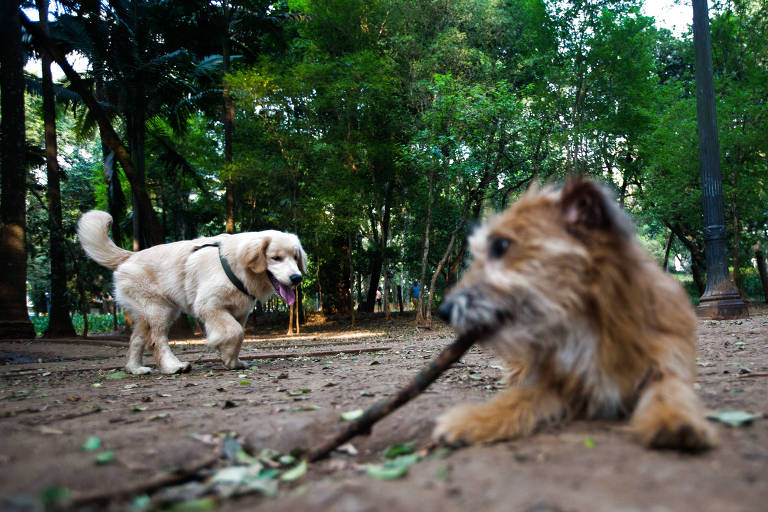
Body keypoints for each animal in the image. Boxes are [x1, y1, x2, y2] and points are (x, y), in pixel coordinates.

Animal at [436, 178, 716, 450]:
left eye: (500, 246)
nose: (443, 311)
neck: (587, 323)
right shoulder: (557, 383)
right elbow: (517, 398)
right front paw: (473, 419)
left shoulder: (666, 360)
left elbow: (669, 388)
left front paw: (675, 420)